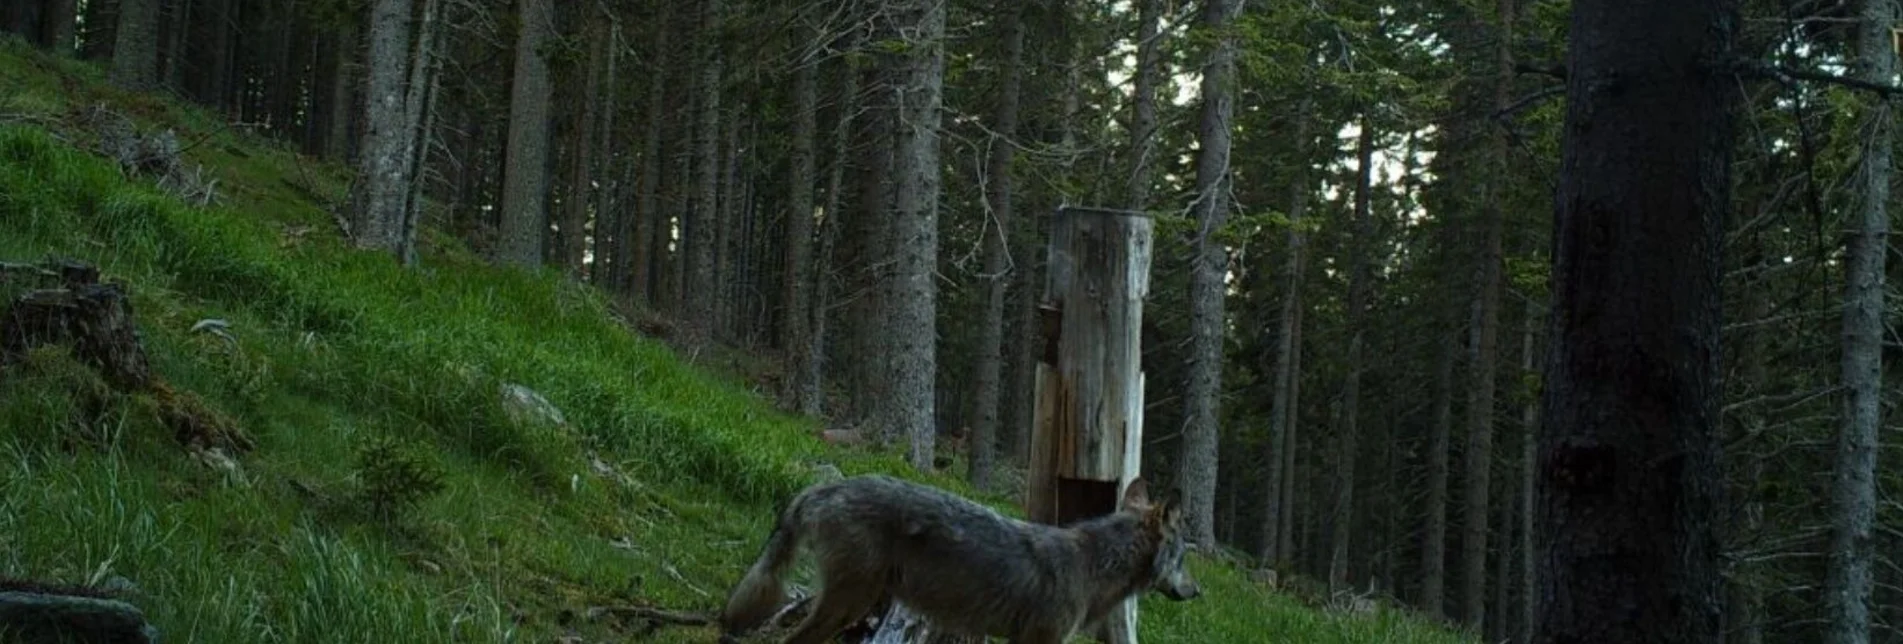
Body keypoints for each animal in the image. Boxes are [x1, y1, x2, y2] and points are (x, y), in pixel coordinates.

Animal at [719, 472, 1195, 644]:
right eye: (1185, 560)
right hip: (849, 603)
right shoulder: (1041, 641)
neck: (1093, 567)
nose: (1197, 591)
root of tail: (825, 486)